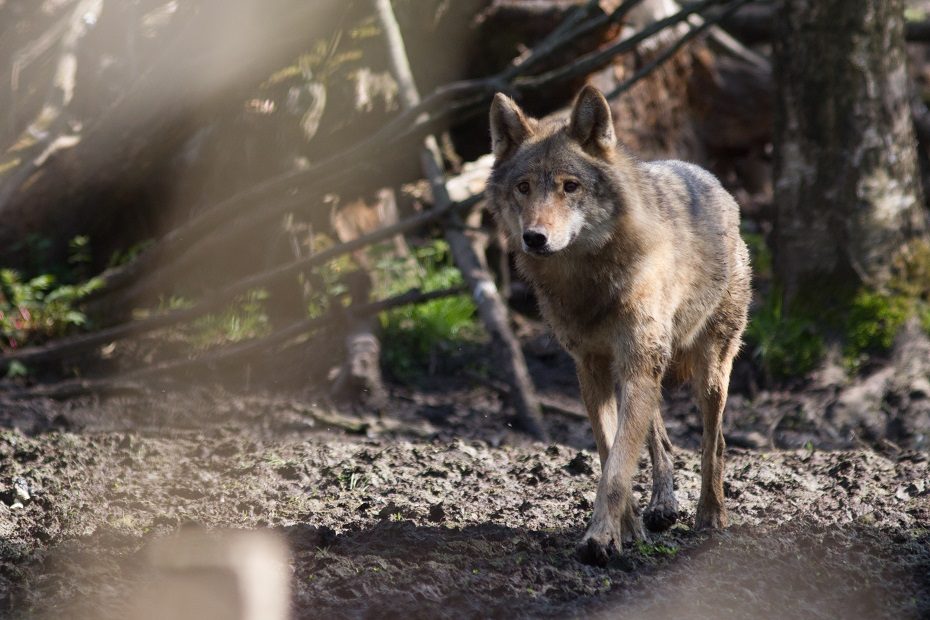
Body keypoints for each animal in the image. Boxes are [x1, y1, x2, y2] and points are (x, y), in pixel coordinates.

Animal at [486, 85, 748, 564]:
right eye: (523, 187)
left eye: (570, 186)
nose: (535, 237)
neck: (588, 284)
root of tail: (714, 180)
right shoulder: (592, 368)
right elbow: (612, 454)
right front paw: (627, 530)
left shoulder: (637, 362)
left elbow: (617, 469)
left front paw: (600, 539)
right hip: (644, 366)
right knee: (662, 438)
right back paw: (662, 507)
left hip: (708, 372)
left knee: (713, 443)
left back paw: (711, 516)